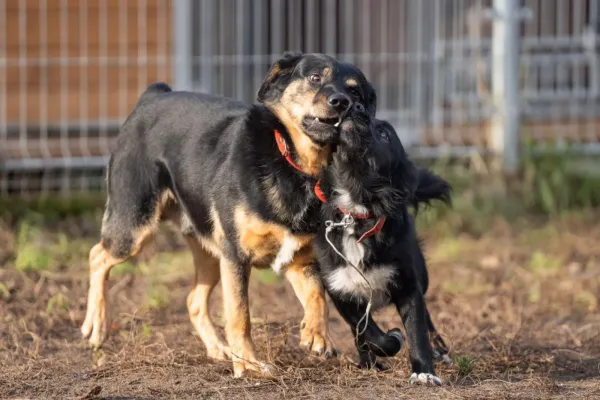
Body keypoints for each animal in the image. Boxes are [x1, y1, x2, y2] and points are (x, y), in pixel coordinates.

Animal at [82, 54, 378, 378]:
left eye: (354, 91)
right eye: (314, 78)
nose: (342, 102)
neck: (296, 165)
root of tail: (152, 96)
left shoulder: (299, 259)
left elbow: (317, 297)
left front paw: (316, 335)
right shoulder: (236, 255)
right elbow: (240, 315)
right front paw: (248, 364)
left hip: (211, 252)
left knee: (193, 300)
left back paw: (218, 349)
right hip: (135, 226)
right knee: (97, 256)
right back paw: (96, 326)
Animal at [314, 103, 450, 384]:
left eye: (385, 134)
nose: (355, 107)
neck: (357, 212)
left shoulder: (408, 285)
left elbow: (417, 331)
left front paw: (424, 372)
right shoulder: (339, 289)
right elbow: (367, 333)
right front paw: (389, 341)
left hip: (422, 274)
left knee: (428, 318)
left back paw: (438, 349)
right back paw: (368, 362)